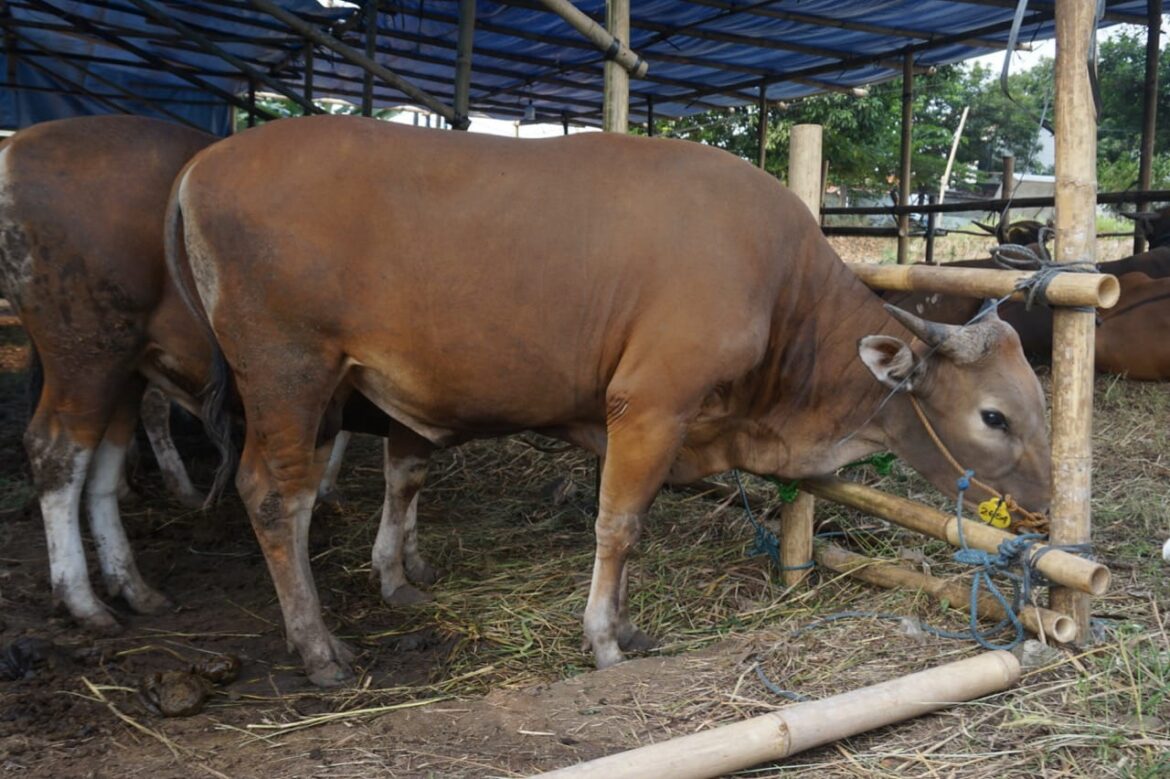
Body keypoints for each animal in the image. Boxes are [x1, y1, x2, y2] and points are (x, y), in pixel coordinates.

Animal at [0, 118, 437, 636]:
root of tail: (17, 145)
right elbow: (401, 479)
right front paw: (395, 564)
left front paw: (408, 557)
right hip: (85, 353)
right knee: (59, 452)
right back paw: (82, 597)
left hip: (123, 367)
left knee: (104, 456)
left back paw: (132, 583)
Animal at [169, 112, 1057, 683]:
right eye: (993, 415)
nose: (1046, 512)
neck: (778, 288)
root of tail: (204, 163)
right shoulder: (649, 404)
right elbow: (619, 525)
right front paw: (603, 638)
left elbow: (634, 525)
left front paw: (625, 621)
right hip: (288, 371)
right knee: (273, 495)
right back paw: (316, 645)